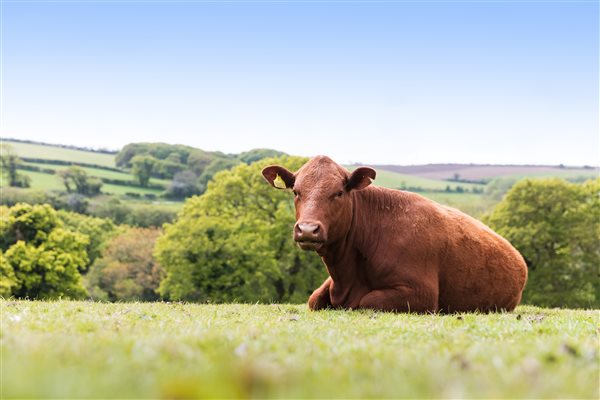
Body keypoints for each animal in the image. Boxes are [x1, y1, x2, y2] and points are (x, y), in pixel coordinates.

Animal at [264, 155, 528, 314]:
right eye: (296, 192)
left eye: (338, 192)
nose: (308, 229)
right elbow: (314, 299)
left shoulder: (421, 293)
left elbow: (367, 301)